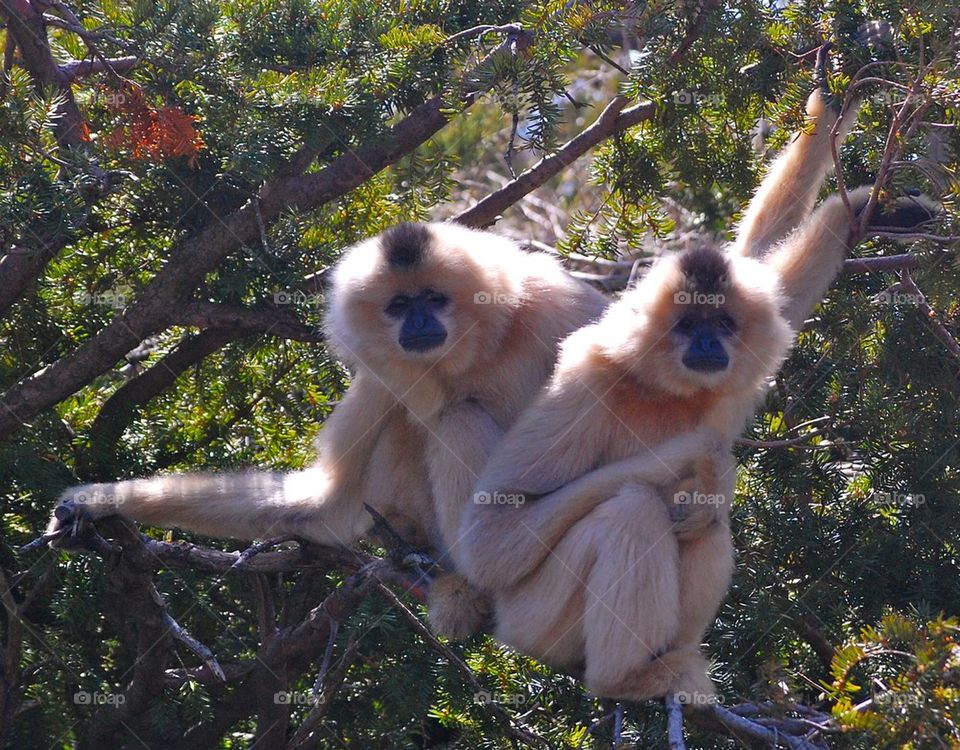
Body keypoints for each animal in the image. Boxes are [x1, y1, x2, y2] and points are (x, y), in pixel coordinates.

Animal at [48, 221, 610, 639]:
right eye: (398, 306)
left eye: (433, 298)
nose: (418, 324)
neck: (477, 352)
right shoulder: (380, 378)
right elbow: (324, 505)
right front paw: (101, 501)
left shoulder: (556, 304)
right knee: (443, 421)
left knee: (459, 418)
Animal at [452, 86, 939, 702]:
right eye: (687, 326)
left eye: (723, 323)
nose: (707, 342)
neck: (669, 393)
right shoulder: (588, 382)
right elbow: (491, 535)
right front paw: (703, 460)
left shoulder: (736, 375)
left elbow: (772, 271)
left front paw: (844, 138)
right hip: (533, 620)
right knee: (636, 508)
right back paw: (624, 678)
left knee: (700, 522)